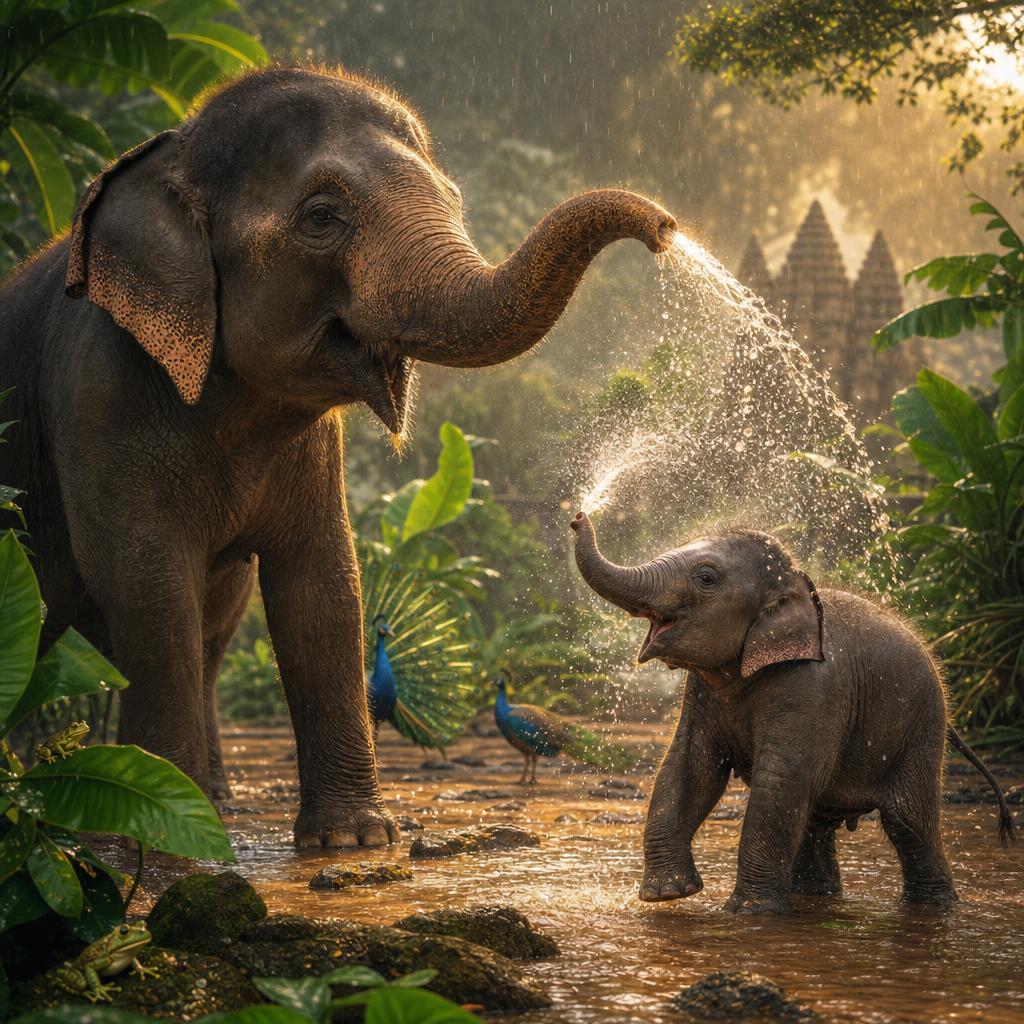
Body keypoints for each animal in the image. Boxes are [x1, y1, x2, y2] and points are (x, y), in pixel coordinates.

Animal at [0, 65, 676, 849]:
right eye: (322, 217)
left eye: (452, 201)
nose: (666, 230)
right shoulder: (97, 394)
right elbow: (148, 583)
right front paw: (161, 841)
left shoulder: (313, 449)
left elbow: (324, 582)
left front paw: (353, 839)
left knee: (213, 631)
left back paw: (218, 799)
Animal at [570, 511, 1016, 913]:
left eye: (706, 578)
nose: (576, 516)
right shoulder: (699, 693)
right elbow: (688, 767)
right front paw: (667, 895)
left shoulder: (813, 685)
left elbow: (782, 779)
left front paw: (749, 912)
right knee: (816, 821)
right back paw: (815, 897)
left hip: (922, 727)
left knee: (908, 822)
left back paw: (934, 908)